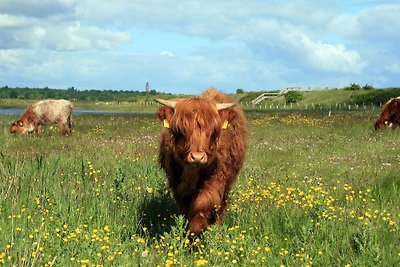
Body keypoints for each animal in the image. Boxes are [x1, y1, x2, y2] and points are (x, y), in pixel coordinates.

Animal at [155, 88, 247, 237]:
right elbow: (186, 209)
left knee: (222, 205)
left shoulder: (216, 179)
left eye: (213, 131)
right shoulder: (177, 184)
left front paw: (197, 231)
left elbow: (202, 203)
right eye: (180, 130)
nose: (197, 157)